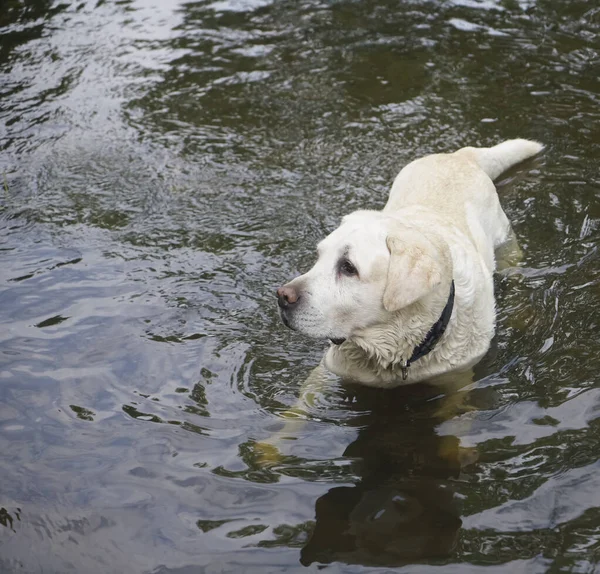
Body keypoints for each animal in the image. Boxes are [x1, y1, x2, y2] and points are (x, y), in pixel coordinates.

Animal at [276, 141, 544, 390]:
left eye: (348, 267)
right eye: (319, 255)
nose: (282, 296)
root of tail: (460, 156)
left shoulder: (458, 379)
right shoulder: (326, 371)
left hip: (506, 247)